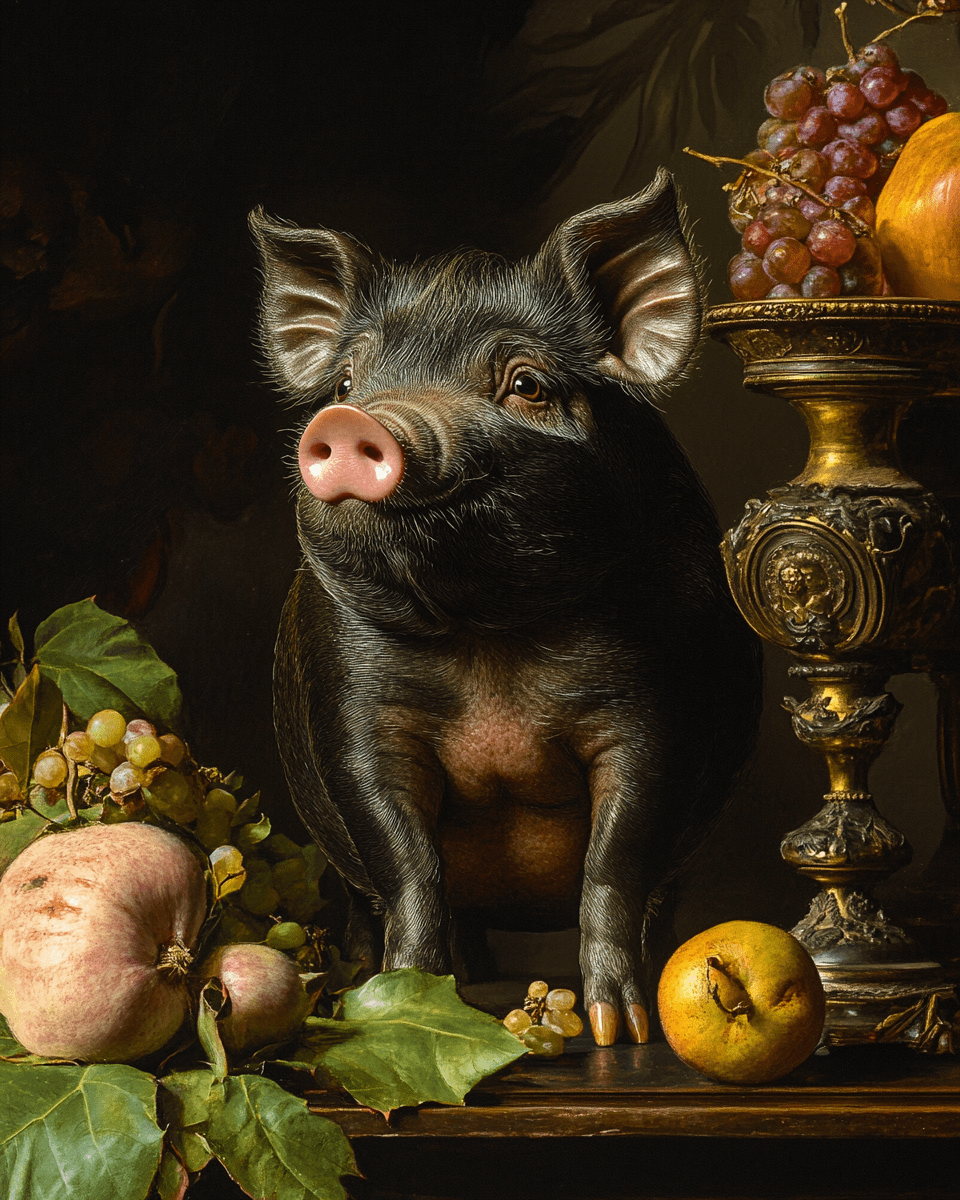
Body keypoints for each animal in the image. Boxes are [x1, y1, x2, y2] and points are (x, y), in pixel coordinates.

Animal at [251, 169, 762, 1045]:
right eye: (347, 382)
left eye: (525, 384)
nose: (350, 420)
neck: (487, 632)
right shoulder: (351, 708)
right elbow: (407, 861)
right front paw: (402, 1004)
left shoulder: (657, 702)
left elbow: (616, 858)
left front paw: (616, 1029)